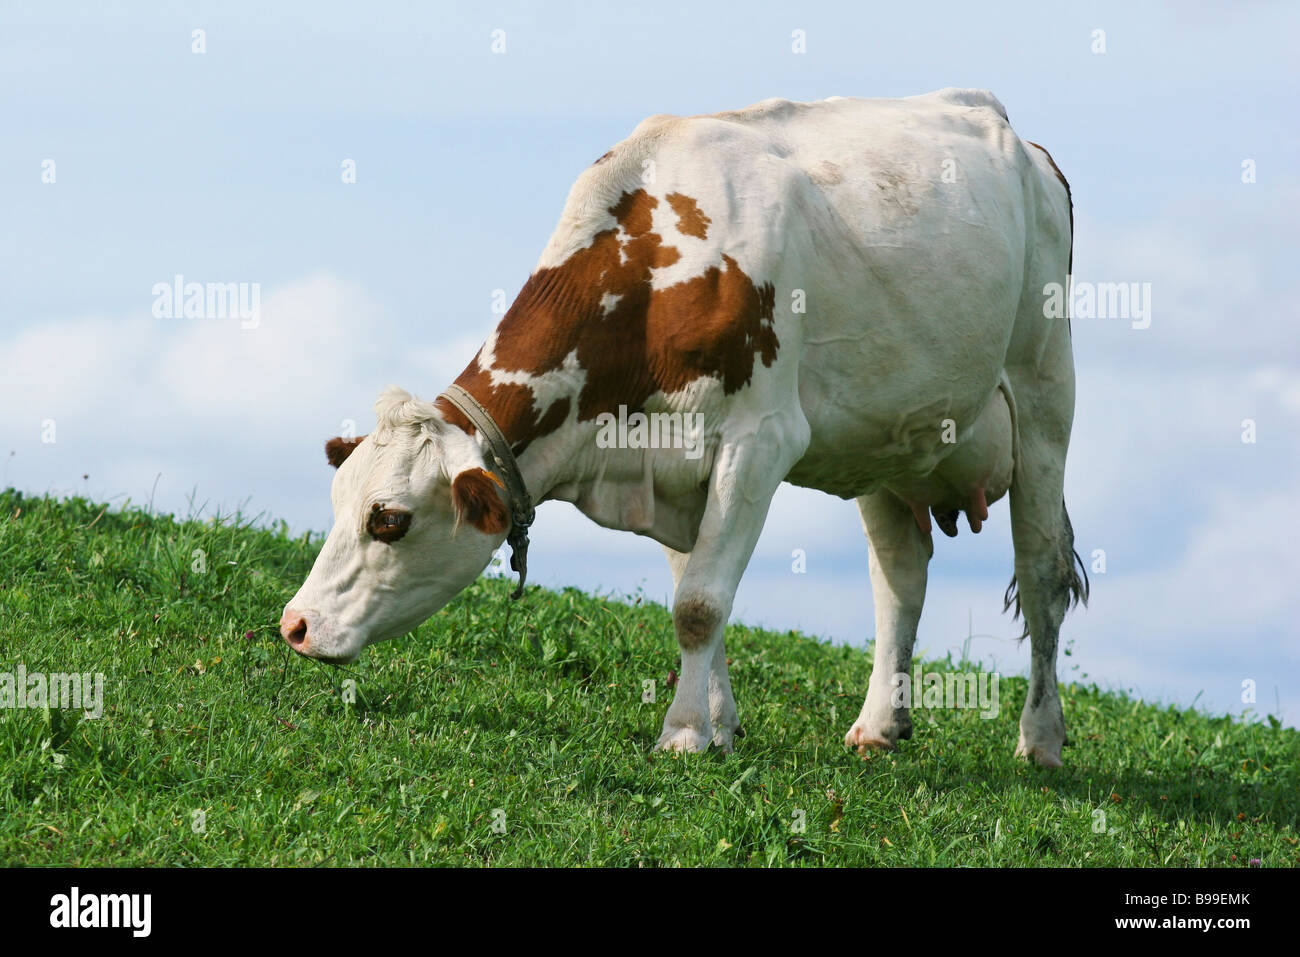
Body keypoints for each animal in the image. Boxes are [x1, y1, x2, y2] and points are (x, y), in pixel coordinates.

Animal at [282, 85, 1086, 764]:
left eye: (389, 519)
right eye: (337, 502)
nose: (295, 624)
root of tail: (1019, 138)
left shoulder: (761, 440)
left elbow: (699, 602)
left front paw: (683, 734)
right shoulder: (664, 460)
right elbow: (700, 588)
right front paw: (718, 725)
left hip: (1045, 397)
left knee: (1042, 573)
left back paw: (1041, 742)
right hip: (887, 439)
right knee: (900, 580)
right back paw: (879, 726)